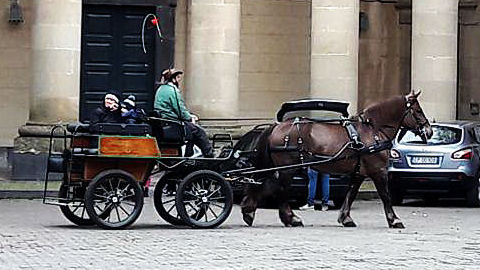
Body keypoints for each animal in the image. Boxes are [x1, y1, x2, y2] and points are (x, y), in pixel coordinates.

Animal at [242, 90, 434, 228]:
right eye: (418, 110)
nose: (430, 131)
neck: (373, 130)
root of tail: (277, 126)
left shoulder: (359, 172)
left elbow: (351, 194)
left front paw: (345, 218)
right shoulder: (378, 171)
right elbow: (385, 195)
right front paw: (394, 220)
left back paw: (251, 210)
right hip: (288, 168)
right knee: (279, 189)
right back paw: (289, 218)